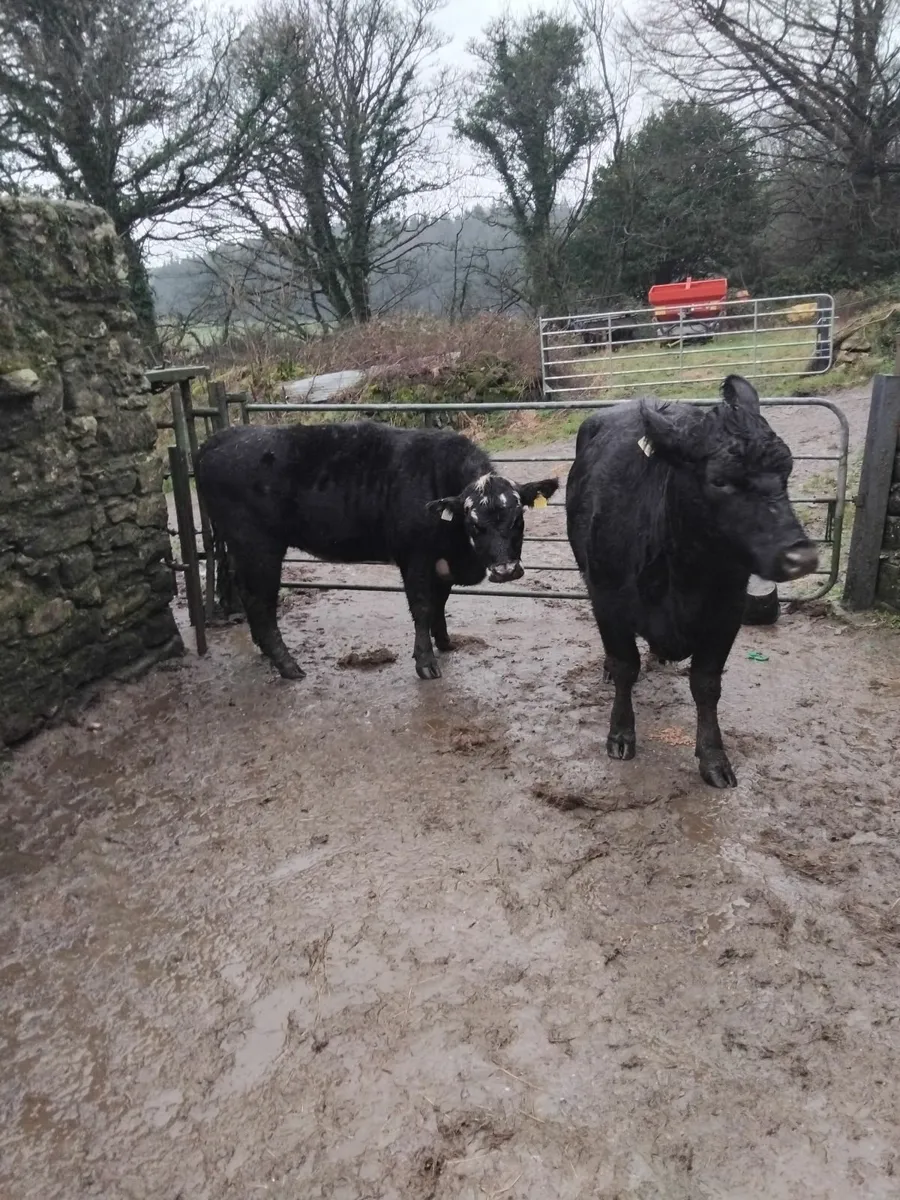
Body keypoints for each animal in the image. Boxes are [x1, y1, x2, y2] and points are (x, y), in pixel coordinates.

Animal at [194, 421, 558, 682]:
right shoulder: (415, 557)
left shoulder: (439, 562)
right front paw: (426, 663)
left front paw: (444, 642)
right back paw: (288, 666)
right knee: (261, 600)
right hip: (258, 547)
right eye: (474, 524)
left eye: (518, 518)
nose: (505, 570)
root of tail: (217, 440)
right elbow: (423, 607)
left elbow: (440, 603)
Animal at [565, 375, 817, 788]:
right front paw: (621, 734)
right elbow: (625, 667)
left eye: (787, 471)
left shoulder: (727, 611)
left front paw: (713, 757)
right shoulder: (607, 600)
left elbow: (706, 684)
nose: (802, 557)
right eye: (719, 481)